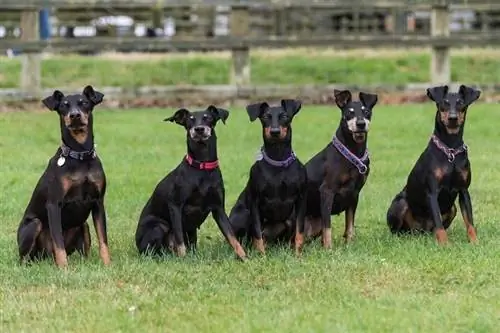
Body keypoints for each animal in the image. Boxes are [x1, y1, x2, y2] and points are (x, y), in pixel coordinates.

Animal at [16, 85, 110, 268]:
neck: (80, 155)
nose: (75, 115)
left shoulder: (98, 202)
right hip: (34, 226)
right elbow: (58, 243)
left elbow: (103, 239)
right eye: (63, 106)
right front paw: (64, 269)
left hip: (84, 225)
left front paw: (108, 264)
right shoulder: (54, 204)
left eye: (84, 103)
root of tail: (45, 257)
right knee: (25, 258)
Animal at [136, 104, 247, 260]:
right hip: (159, 226)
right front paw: (183, 259)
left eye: (207, 118)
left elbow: (232, 236)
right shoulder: (175, 205)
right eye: (190, 120)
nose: (199, 129)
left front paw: (245, 257)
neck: (202, 167)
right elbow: (179, 238)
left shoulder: (219, 209)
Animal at [229, 98, 306, 254]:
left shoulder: (300, 200)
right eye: (265, 117)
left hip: (289, 219)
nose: (275, 132)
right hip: (243, 213)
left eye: (284, 116)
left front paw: (298, 254)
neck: (278, 159)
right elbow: (257, 233)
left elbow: (299, 232)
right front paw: (261, 256)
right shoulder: (254, 202)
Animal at [300, 88, 378, 246]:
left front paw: (349, 244)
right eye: (349, 112)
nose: (361, 124)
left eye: (366, 112)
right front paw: (329, 248)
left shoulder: (354, 194)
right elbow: (328, 227)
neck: (352, 151)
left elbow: (350, 224)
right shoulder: (327, 192)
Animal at [386, 84, 480, 243]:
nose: (453, 118)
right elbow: (438, 222)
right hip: (401, 204)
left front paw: (474, 242)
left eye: (461, 103)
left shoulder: (463, 190)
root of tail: (420, 230)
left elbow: (469, 221)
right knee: (398, 230)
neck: (450, 149)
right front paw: (444, 244)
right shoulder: (432, 192)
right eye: (444, 103)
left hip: (452, 208)